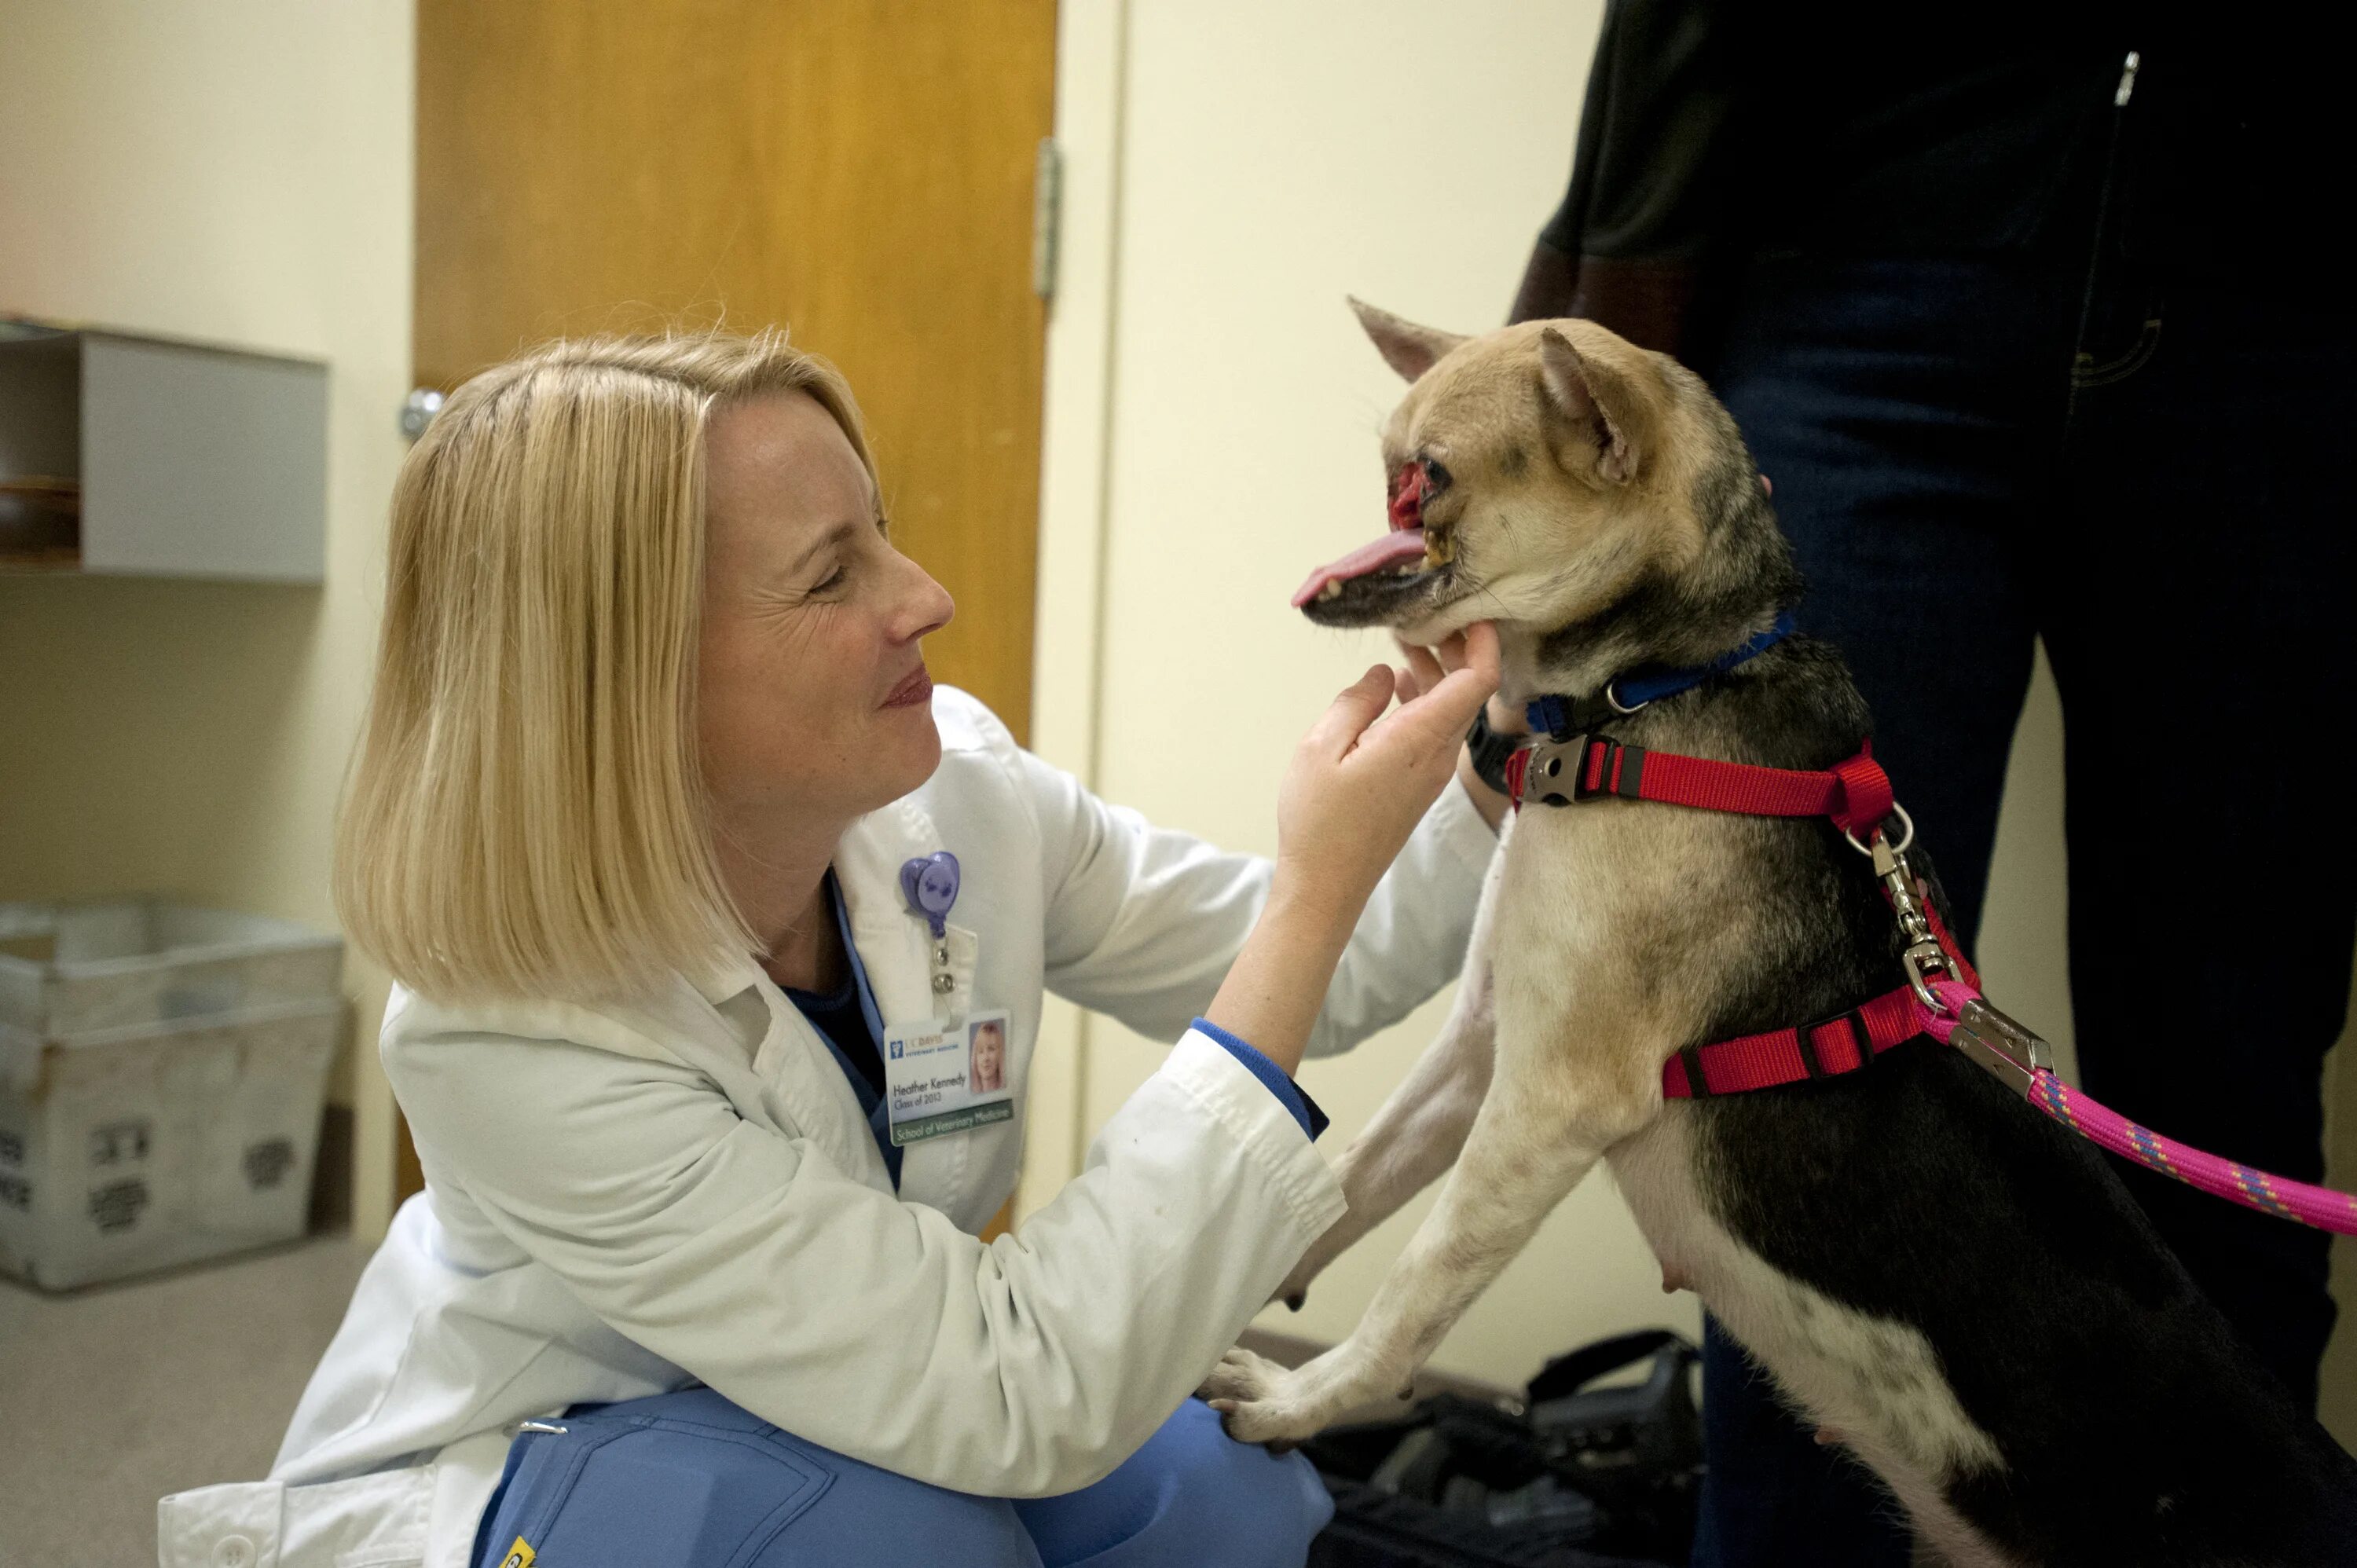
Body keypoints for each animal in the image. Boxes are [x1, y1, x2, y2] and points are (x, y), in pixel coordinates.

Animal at [1207, 299, 2348, 1555]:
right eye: (1391, 471)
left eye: (1430, 479)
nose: (1361, 525)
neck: (1655, 694)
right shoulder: (1481, 1049)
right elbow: (1350, 1178)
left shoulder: (1550, 1101)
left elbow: (1413, 1289)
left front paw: (1304, 1400)